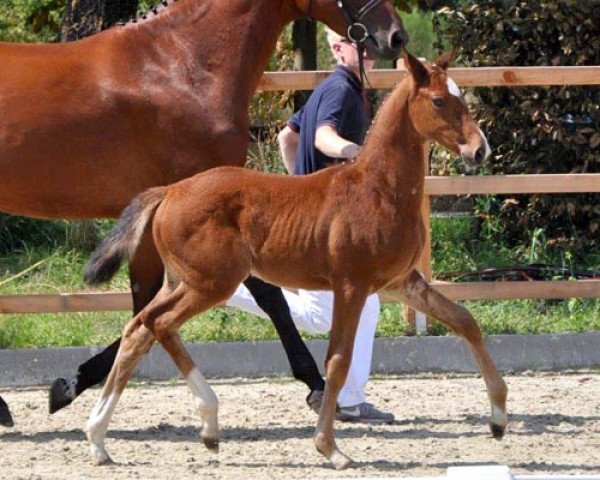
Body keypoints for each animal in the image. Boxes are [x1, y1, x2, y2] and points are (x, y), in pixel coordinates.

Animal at [0, 0, 408, 424]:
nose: (395, 36)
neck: (180, 66)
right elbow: (266, 297)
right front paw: (316, 385)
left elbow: (144, 305)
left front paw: (70, 384)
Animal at [83, 51, 506, 468]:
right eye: (438, 101)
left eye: (460, 97)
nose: (479, 150)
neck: (379, 190)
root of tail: (169, 191)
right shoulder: (351, 286)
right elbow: (338, 361)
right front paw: (330, 447)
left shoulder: (402, 282)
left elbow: (465, 321)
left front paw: (499, 419)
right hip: (212, 283)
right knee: (158, 323)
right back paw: (207, 422)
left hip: (183, 280)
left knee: (139, 329)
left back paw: (101, 439)